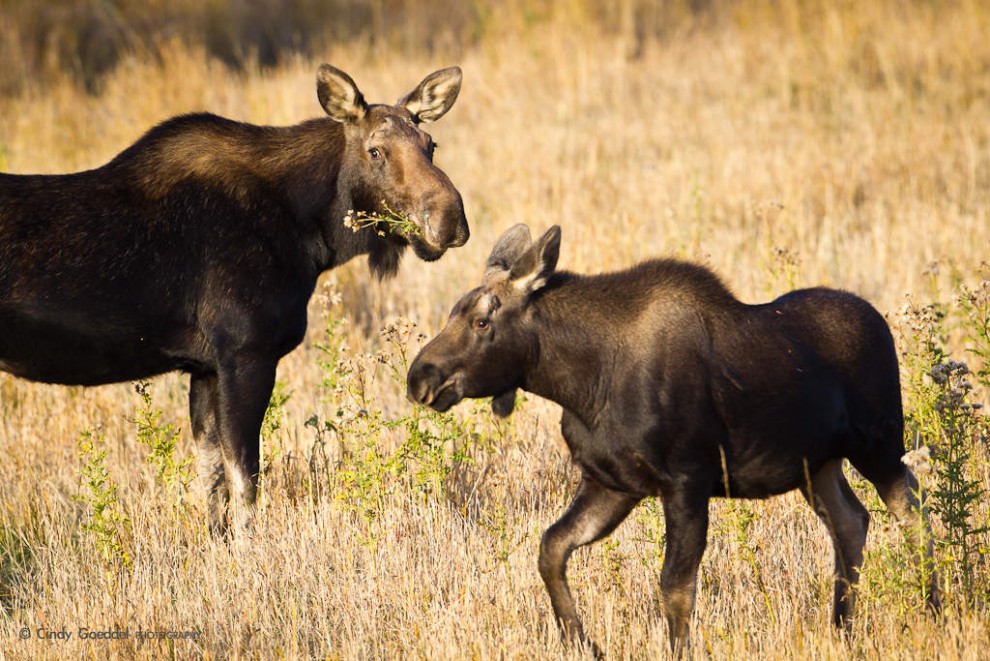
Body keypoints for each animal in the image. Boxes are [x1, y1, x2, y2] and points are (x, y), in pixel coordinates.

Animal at [0, 63, 468, 536]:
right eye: (375, 151)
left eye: (431, 145)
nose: (450, 220)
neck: (312, 236)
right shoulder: (246, 353)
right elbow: (246, 482)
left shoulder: (205, 367)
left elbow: (212, 483)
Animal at [406, 226, 940, 656]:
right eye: (454, 312)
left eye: (482, 321)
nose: (419, 377)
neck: (582, 384)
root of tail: (881, 323)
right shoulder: (612, 484)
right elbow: (551, 548)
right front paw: (584, 643)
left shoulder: (687, 480)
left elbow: (674, 588)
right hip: (818, 465)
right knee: (850, 522)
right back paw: (842, 630)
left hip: (878, 444)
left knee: (912, 507)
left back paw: (933, 611)